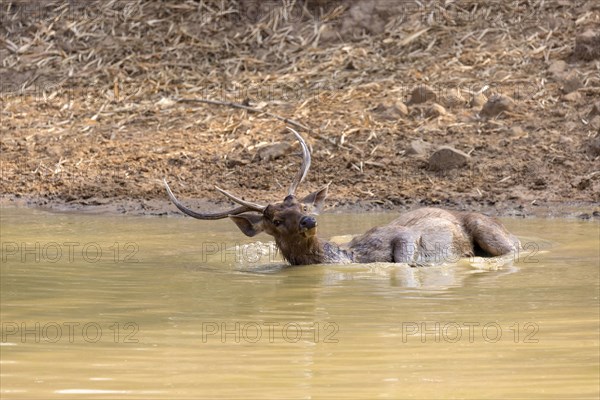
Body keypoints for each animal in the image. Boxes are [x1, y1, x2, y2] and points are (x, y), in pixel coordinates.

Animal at [165, 128, 520, 266]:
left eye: (303, 204)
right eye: (276, 220)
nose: (309, 219)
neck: (350, 257)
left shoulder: (398, 233)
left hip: (489, 230)